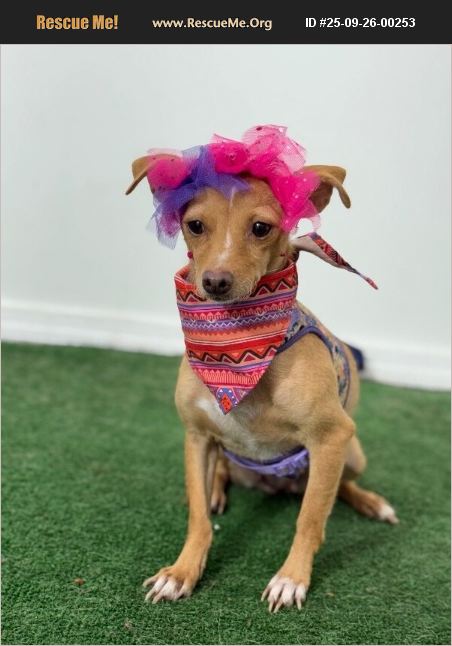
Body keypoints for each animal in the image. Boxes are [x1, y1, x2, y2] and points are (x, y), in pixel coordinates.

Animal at [126, 127, 398, 612]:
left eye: (261, 228)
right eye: (195, 225)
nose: (215, 282)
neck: (239, 354)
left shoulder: (331, 437)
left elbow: (311, 519)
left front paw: (292, 579)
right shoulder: (196, 436)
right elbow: (197, 517)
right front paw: (181, 572)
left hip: (351, 452)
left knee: (335, 489)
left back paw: (370, 502)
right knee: (221, 474)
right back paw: (219, 490)